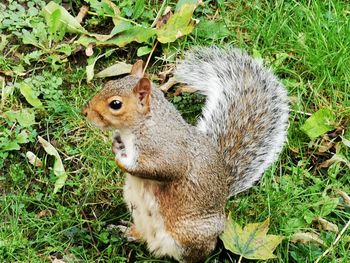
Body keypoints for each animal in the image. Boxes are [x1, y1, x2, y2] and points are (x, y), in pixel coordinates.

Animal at [83, 48, 288, 263]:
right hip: (137, 212)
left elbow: (162, 169)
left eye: (115, 104)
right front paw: (116, 143)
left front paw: (122, 160)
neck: (142, 125)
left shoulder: (168, 152)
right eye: (107, 84)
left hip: (188, 234)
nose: (85, 111)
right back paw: (127, 231)